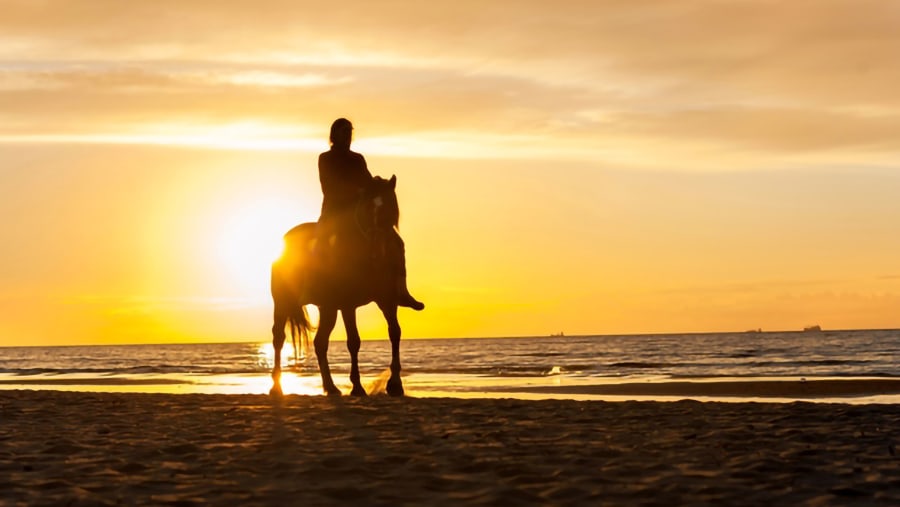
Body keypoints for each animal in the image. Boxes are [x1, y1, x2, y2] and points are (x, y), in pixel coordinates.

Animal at [268, 175, 408, 396]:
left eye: (391, 209)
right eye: (367, 208)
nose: (377, 252)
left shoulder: (387, 300)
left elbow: (395, 332)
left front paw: (395, 384)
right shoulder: (348, 304)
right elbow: (354, 341)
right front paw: (357, 386)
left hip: (327, 308)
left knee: (320, 342)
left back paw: (331, 387)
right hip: (282, 302)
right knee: (279, 338)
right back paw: (276, 387)